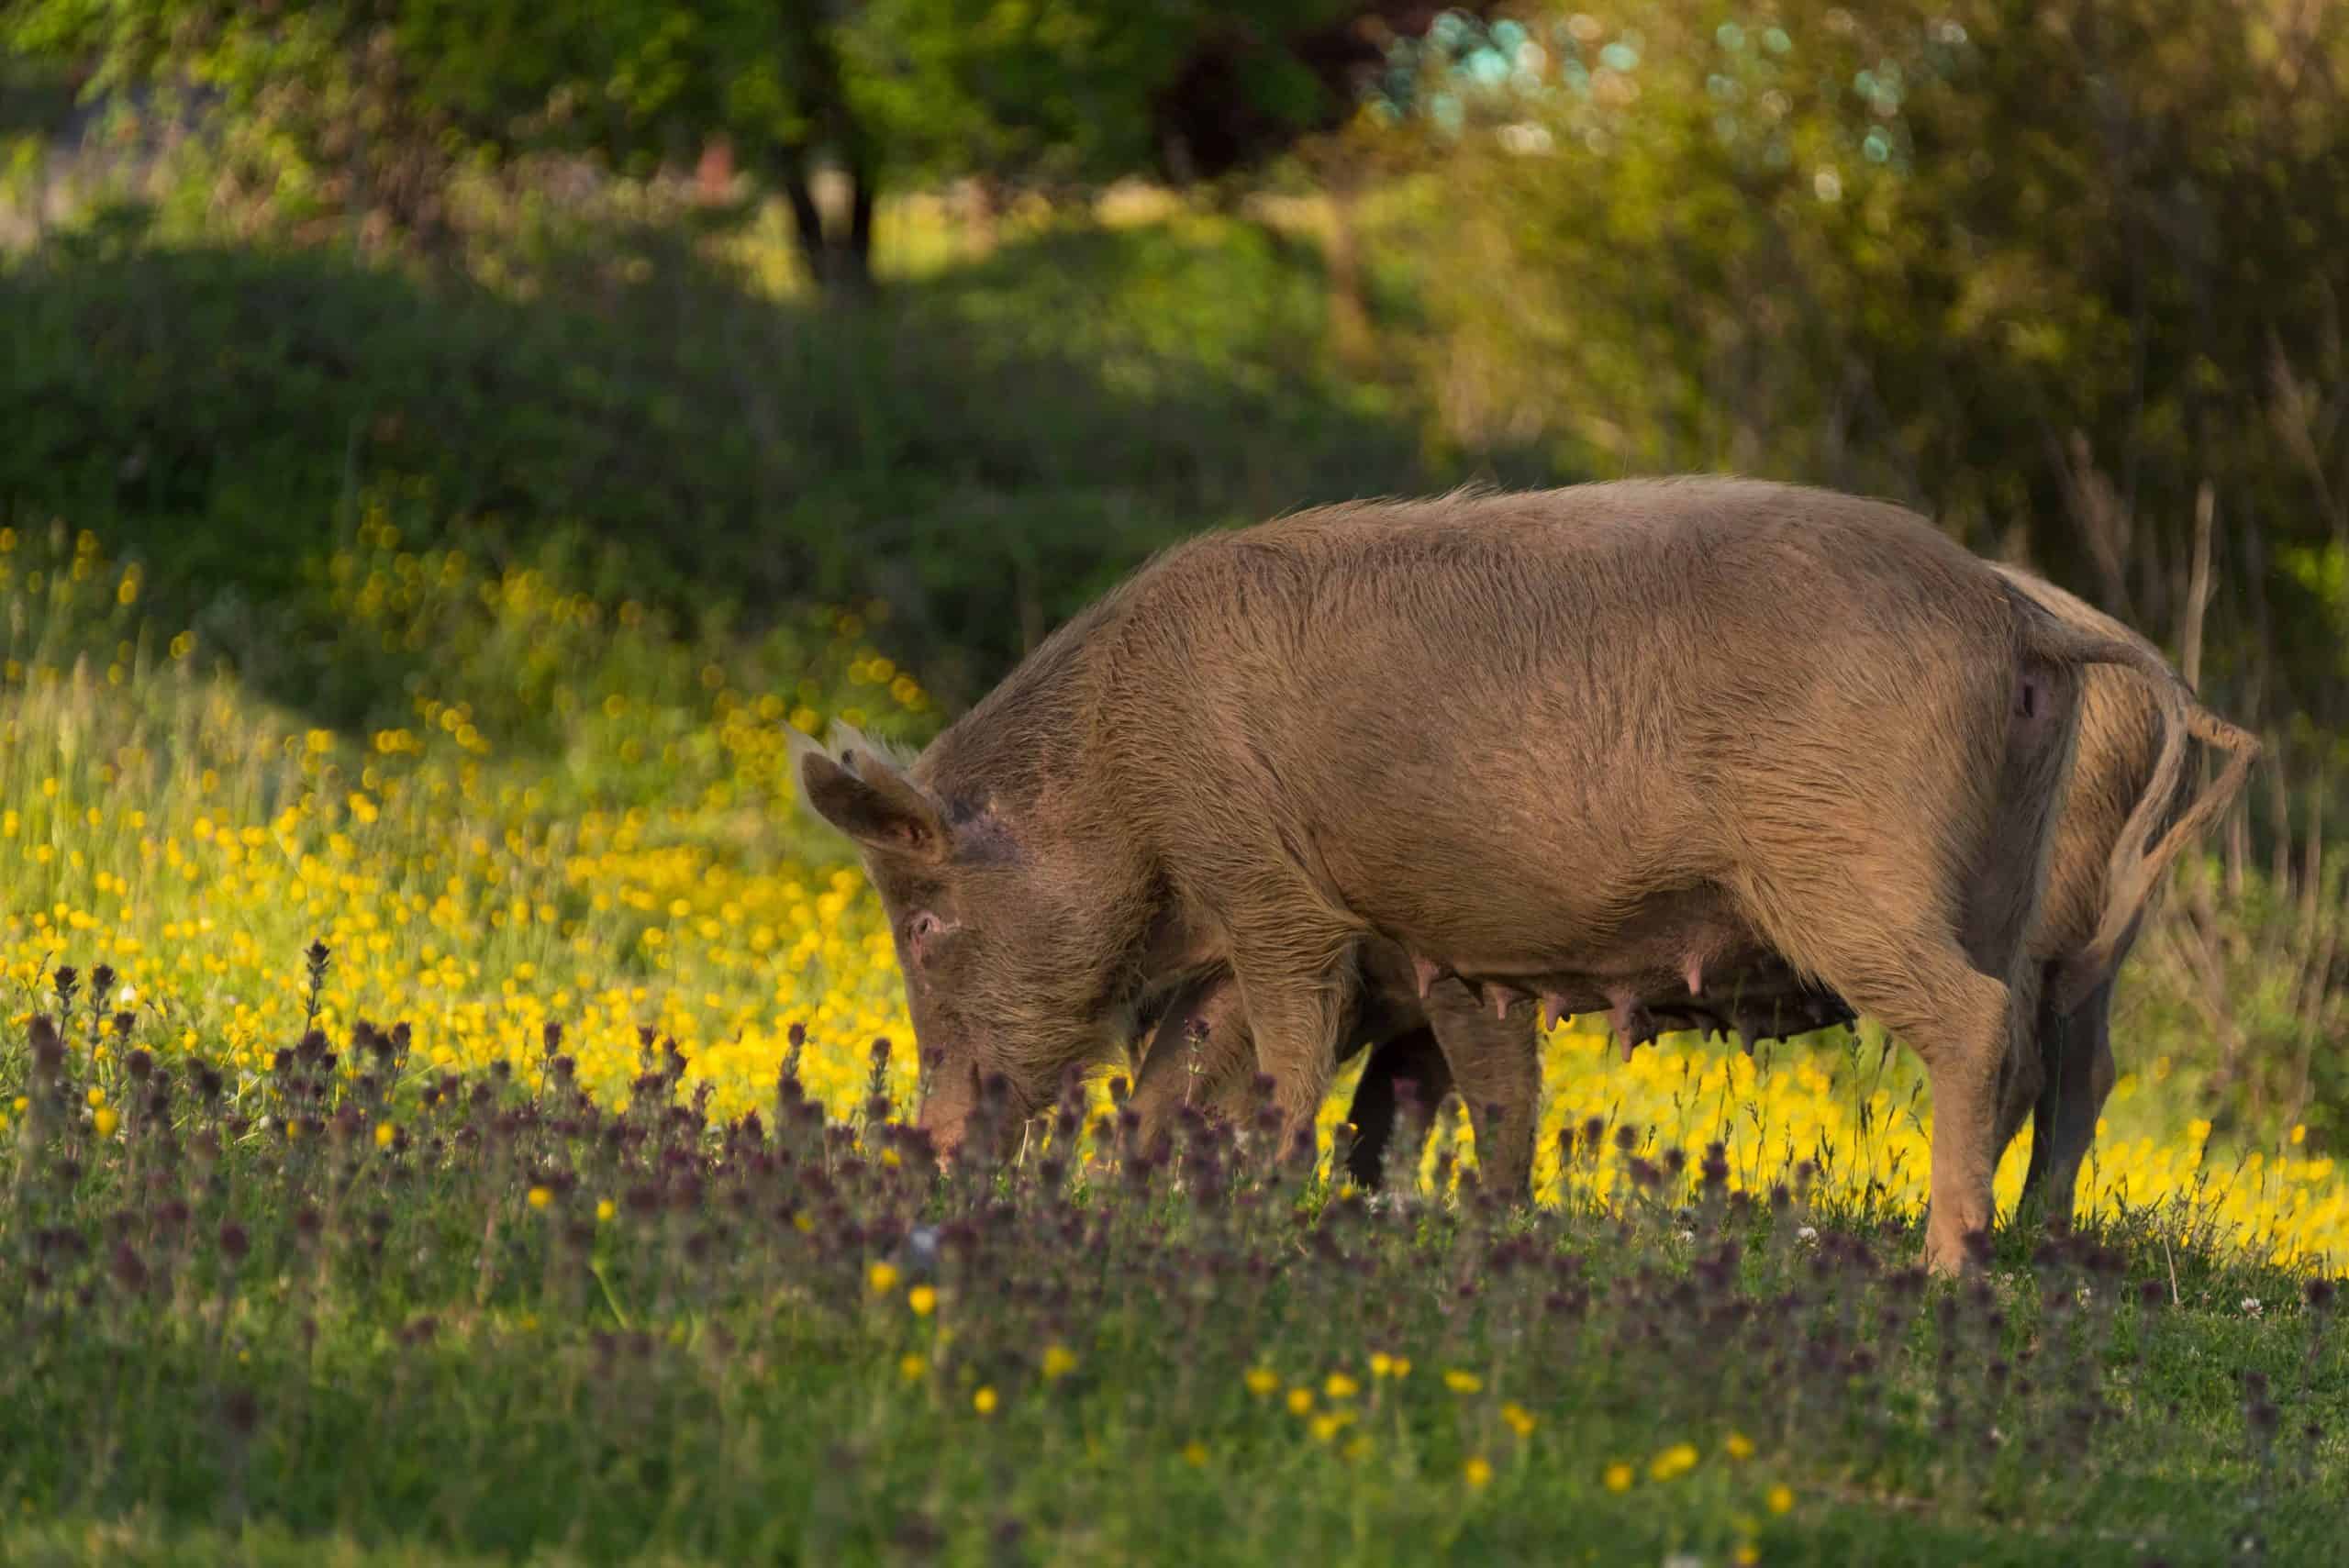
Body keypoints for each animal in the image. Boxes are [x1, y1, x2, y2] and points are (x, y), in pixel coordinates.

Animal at [1118, 561, 2254, 1220]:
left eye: (1193, 1021)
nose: (1126, 1160)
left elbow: (1438, 1087)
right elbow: (1395, 1096)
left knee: (2020, 1055)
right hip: (2092, 942)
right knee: (2084, 1067)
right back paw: (2034, 1237)